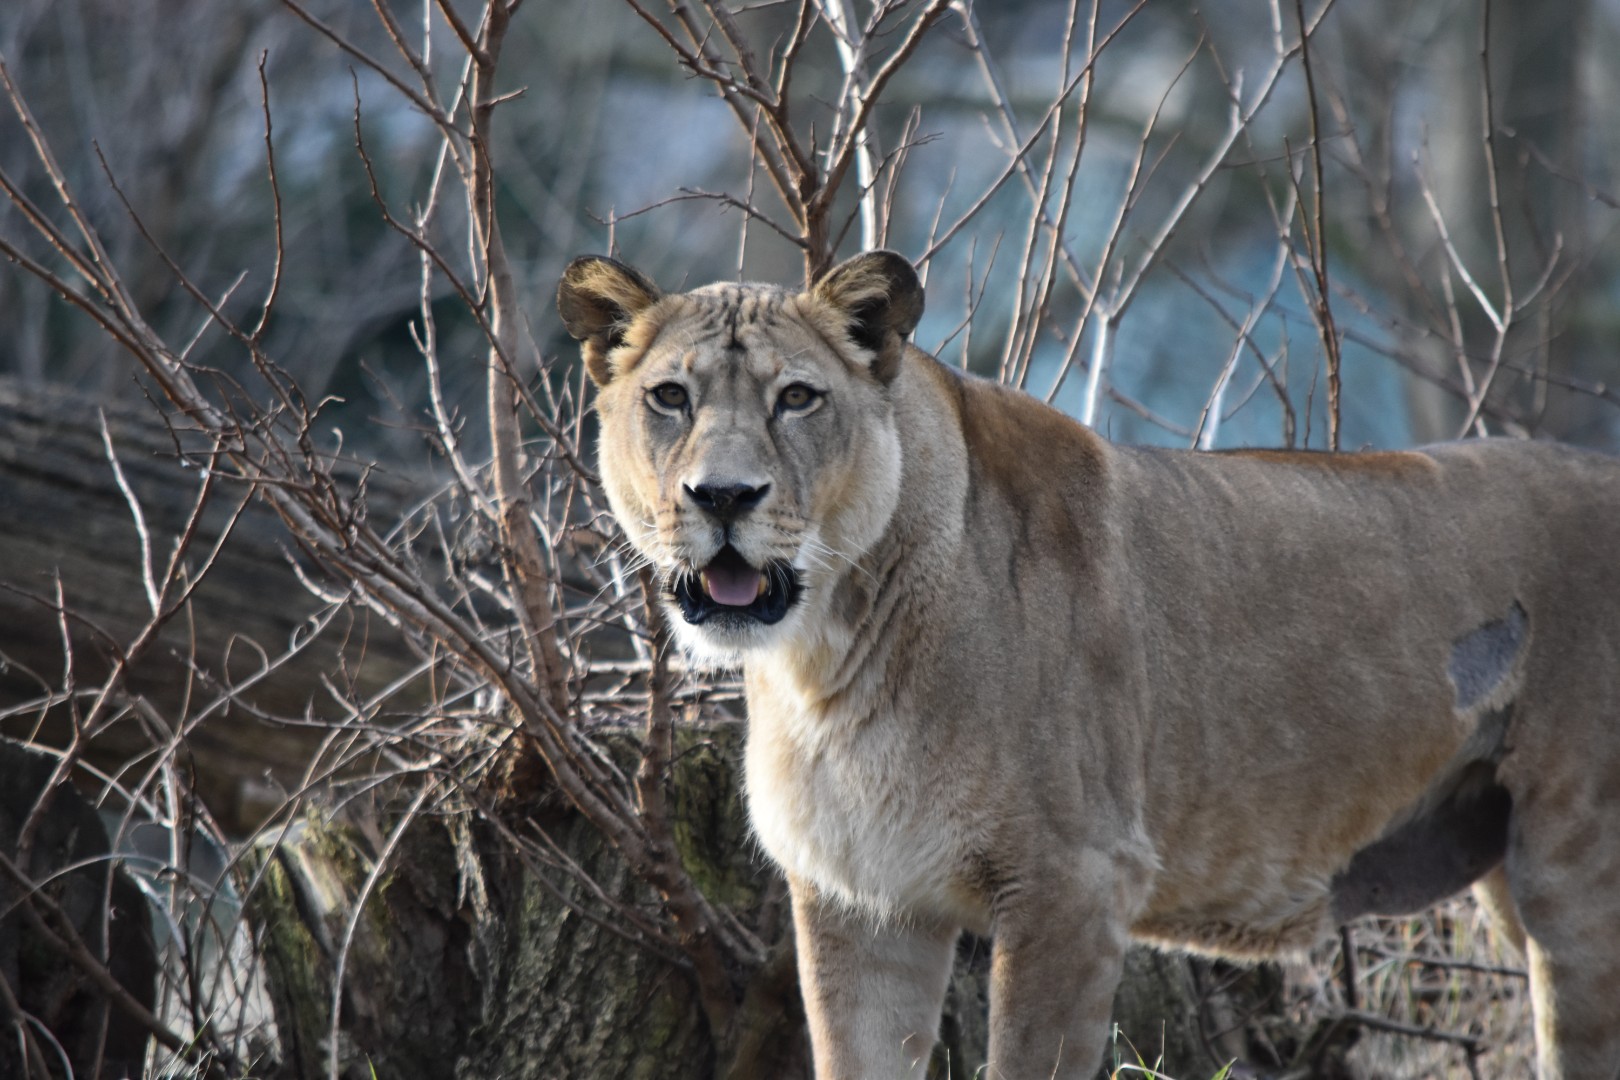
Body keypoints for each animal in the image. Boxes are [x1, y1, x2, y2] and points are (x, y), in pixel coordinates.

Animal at [558, 249, 1620, 1080]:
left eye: (797, 399)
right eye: (670, 398)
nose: (722, 496)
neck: (831, 657)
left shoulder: (1073, 885)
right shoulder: (859, 903)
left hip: (1578, 870)